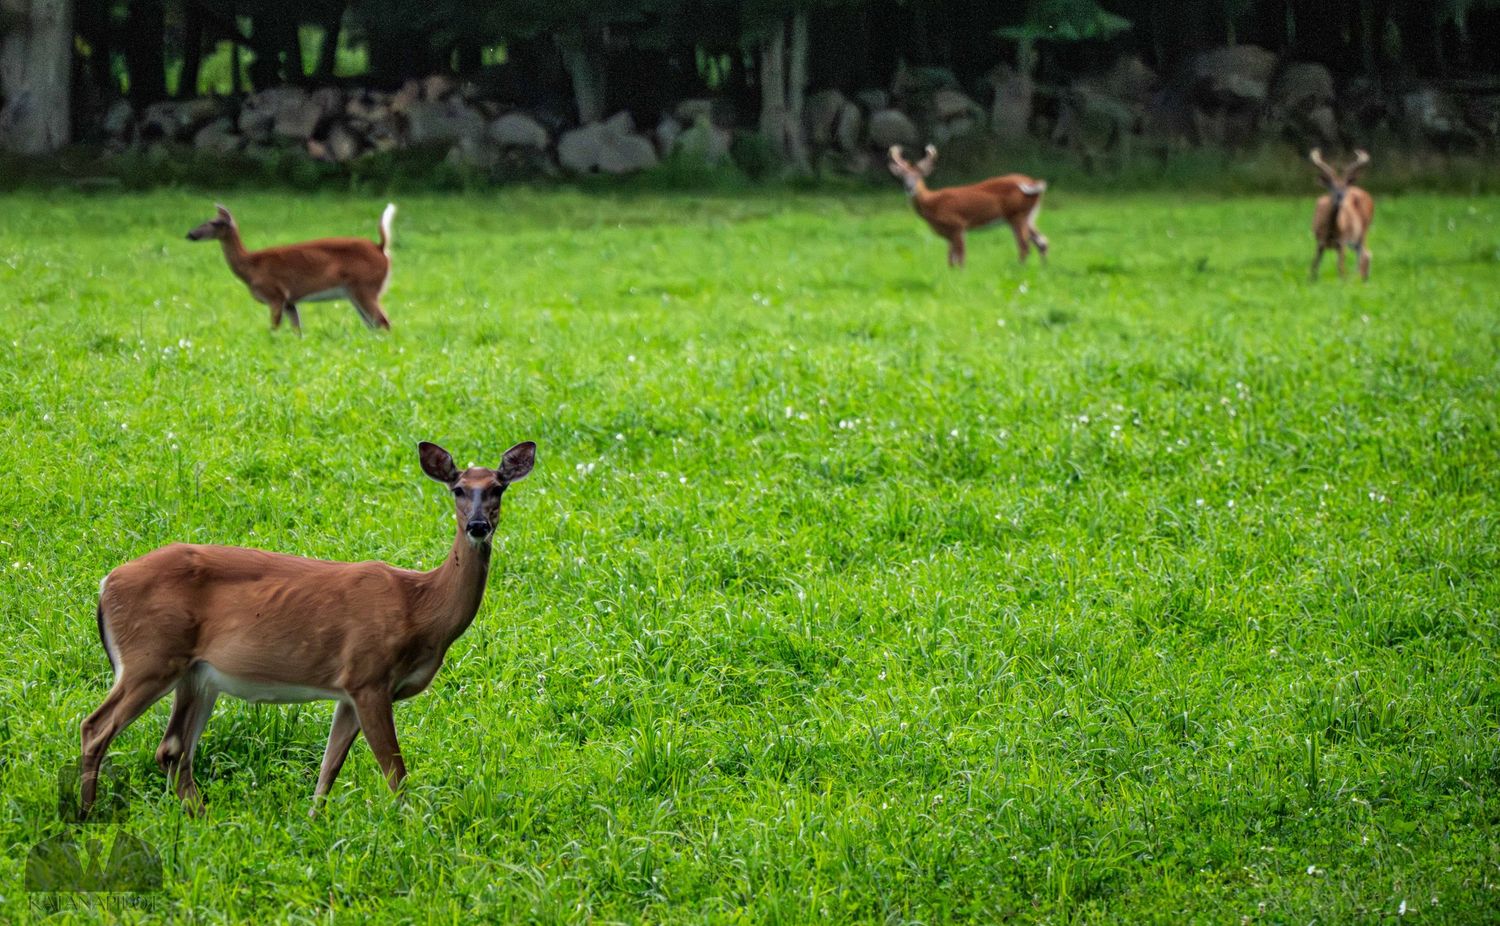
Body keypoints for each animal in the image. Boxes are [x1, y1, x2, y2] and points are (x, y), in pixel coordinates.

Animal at [80, 440, 536, 818]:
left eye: (498, 487)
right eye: (457, 488)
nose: (478, 526)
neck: (420, 606)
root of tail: (106, 584)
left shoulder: (349, 691)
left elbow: (327, 771)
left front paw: (314, 823)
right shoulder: (369, 675)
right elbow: (395, 773)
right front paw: (415, 830)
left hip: (197, 676)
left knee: (172, 749)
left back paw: (201, 819)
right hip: (151, 657)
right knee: (96, 728)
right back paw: (86, 815)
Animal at [186, 202, 396, 332]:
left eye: (214, 222)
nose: (190, 234)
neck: (250, 266)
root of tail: (380, 248)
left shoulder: (275, 295)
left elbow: (274, 329)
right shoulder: (289, 302)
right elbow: (297, 331)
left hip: (365, 287)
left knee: (384, 322)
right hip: (354, 293)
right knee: (375, 325)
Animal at [888, 145, 1049, 268]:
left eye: (918, 176)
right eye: (902, 177)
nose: (909, 187)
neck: (933, 203)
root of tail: (1033, 183)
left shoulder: (958, 225)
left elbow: (960, 257)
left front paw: (961, 275)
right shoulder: (949, 234)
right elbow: (950, 260)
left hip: (1016, 214)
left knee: (1025, 245)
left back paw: (1020, 268)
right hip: (1028, 215)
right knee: (1042, 242)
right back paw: (1042, 269)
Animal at [1309, 149, 1375, 281]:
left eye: (1344, 186)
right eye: (1331, 186)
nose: (1340, 196)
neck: (1331, 231)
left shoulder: (1342, 242)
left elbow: (1341, 268)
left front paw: (1342, 283)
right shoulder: (1319, 241)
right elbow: (1314, 264)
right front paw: (1311, 281)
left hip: (1363, 230)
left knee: (1364, 255)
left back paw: (1360, 279)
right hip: (1354, 240)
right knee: (1365, 254)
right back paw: (1359, 278)